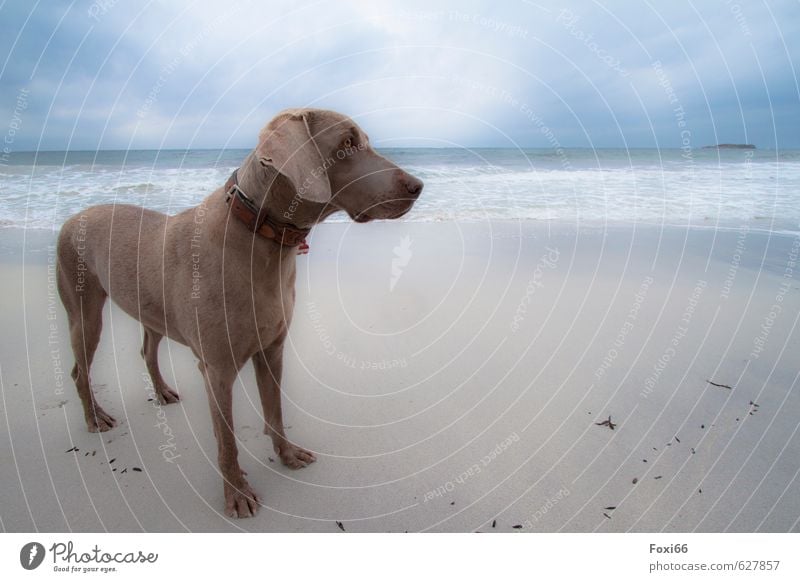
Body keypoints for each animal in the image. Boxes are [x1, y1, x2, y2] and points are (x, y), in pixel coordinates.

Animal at [56, 109, 424, 520]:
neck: (261, 235)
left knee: (147, 348)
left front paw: (287, 455)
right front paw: (236, 494)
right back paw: (95, 418)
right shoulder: (217, 369)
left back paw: (162, 391)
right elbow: (227, 440)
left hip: (150, 308)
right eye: (346, 143)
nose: (418, 186)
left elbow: (274, 411)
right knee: (79, 368)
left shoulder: (272, 350)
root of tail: (74, 215)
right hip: (83, 307)